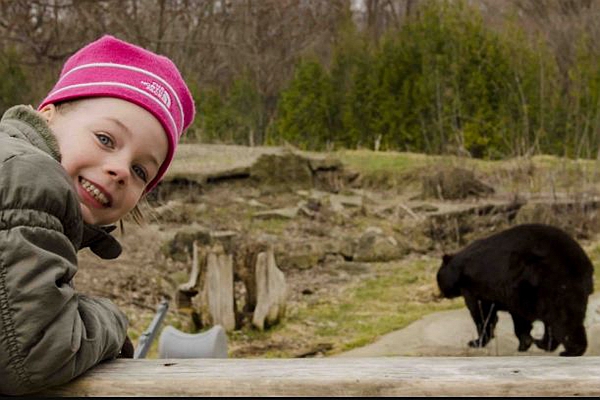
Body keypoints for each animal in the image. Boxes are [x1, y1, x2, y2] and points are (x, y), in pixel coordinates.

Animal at [436, 222, 596, 356]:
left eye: (438, 280)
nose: (442, 294)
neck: (460, 270)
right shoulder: (512, 293)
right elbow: (518, 317)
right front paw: (526, 342)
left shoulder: (477, 287)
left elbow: (482, 313)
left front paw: (476, 341)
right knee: (560, 317)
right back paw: (547, 344)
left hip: (550, 283)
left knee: (562, 318)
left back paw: (570, 350)